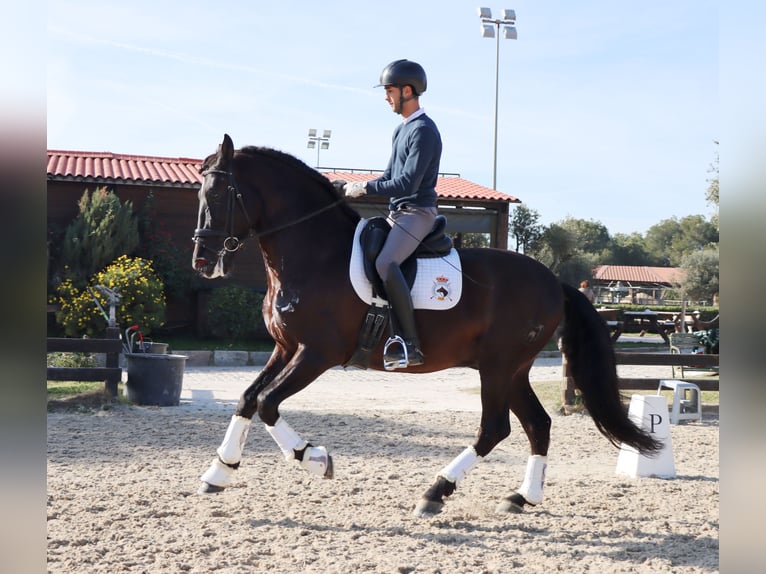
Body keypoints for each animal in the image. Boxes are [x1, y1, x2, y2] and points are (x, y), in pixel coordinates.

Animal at [191, 134, 661, 518]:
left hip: (498, 367)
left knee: (495, 428)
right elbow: (247, 398)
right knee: (537, 424)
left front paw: (316, 458)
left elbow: (268, 402)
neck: (314, 254)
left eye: (218, 193)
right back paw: (521, 497)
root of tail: (553, 282)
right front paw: (220, 471)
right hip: (512, 369)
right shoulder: (285, 348)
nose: (201, 261)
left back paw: (436, 492)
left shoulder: (317, 353)